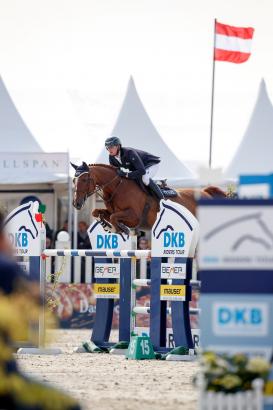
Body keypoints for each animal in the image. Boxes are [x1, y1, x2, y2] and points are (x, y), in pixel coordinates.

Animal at [71, 163, 226, 234]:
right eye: (74, 180)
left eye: (84, 179)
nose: (76, 203)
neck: (117, 187)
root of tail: (205, 192)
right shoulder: (113, 211)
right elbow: (97, 212)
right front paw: (106, 225)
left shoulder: (134, 216)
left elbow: (115, 218)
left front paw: (122, 229)